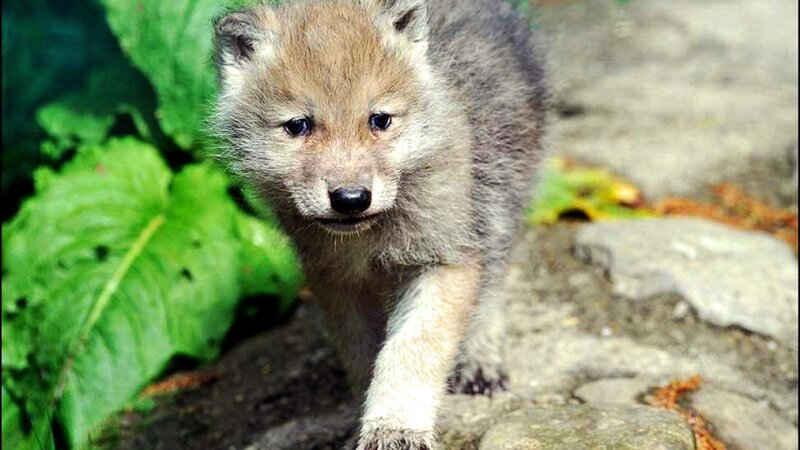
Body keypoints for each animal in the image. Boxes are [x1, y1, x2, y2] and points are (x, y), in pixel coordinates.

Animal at [211, 0, 547, 447]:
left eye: (380, 120)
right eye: (298, 126)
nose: (351, 199)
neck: (371, 238)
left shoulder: (444, 259)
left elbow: (412, 349)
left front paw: (396, 426)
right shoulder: (337, 282)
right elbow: (363, 358)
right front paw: (366, 421)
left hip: (498, 202)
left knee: (492, 283)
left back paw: (480, 359)